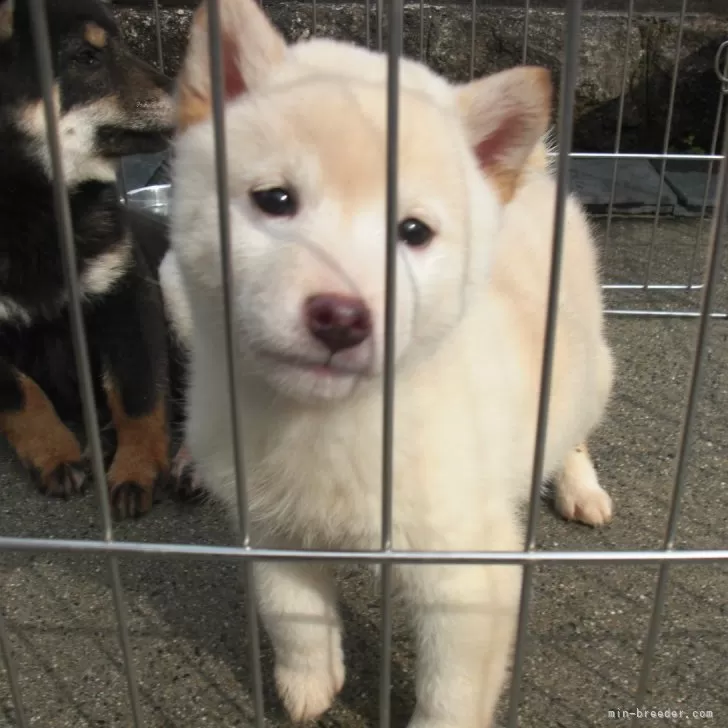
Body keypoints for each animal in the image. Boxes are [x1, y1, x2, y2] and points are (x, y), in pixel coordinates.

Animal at [0, 0, 178, 520]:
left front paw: (137, 468)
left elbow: (137, 393)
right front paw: (55, 454)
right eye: (86, 57)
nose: (183, 89)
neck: (35, 207)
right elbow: (22, 396)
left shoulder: (126, 291)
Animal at [164, 2, 616, 724]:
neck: (329, 425)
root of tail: (537, 178)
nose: (342, 317)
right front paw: (308, 684)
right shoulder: (269, 529)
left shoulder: (466, 572)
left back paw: (579, 485)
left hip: (583, 366)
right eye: (275, 199)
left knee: (571, 428)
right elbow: (292, 616)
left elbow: (451, 692)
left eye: (413, 233)